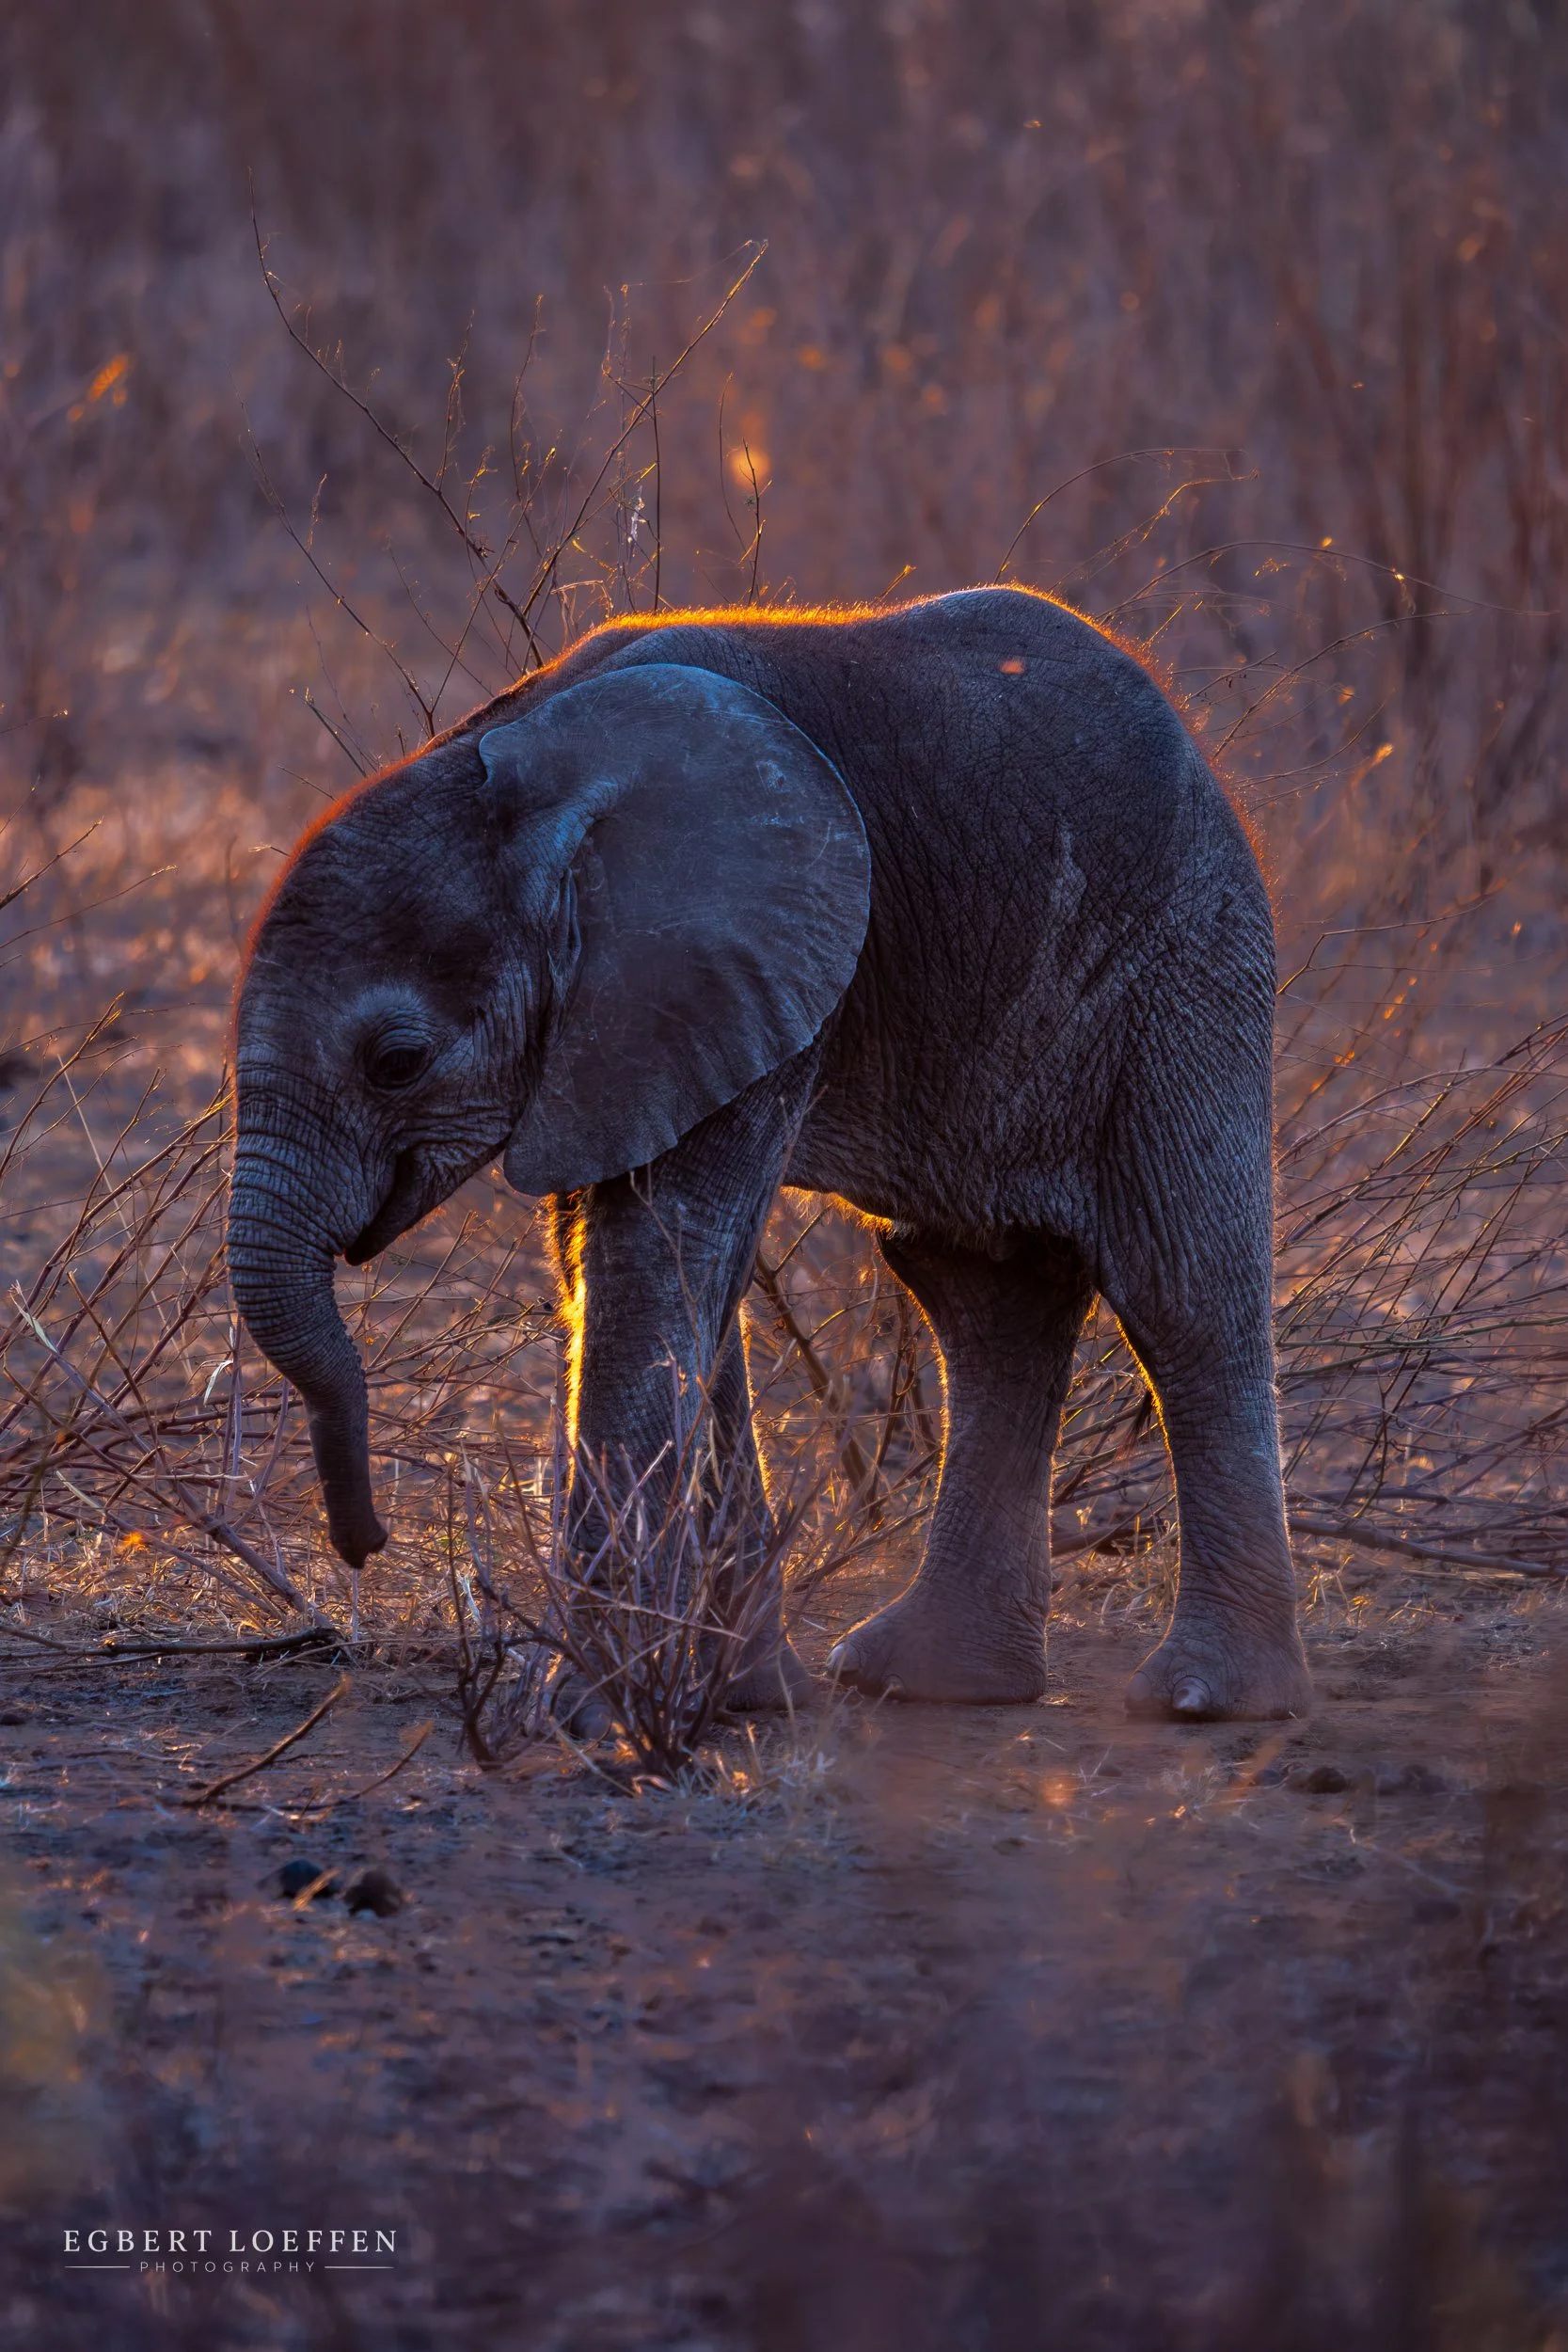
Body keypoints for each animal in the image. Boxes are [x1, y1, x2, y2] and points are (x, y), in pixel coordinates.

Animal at [228, 585, 1313, 1724]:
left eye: (395, 1062)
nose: (364, 1541)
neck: (521, 764)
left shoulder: (717, 971)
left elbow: (652, 1272)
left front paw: (589, 1711)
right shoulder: (622, 1029)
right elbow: (644, 1279)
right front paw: (738, 1698)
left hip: (1185, 958)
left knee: (1178, 1289)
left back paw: (1205, 1700)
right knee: (981, 1290)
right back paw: (928, 1680)